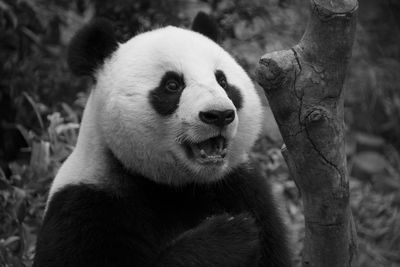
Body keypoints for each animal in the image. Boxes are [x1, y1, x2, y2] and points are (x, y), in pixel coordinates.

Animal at [33, 12, 290, 267]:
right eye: (172, 85)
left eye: (223, 81)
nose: (218, 115)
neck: (178, 187)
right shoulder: (86, 206)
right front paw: (228, 236)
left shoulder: (243, 189)